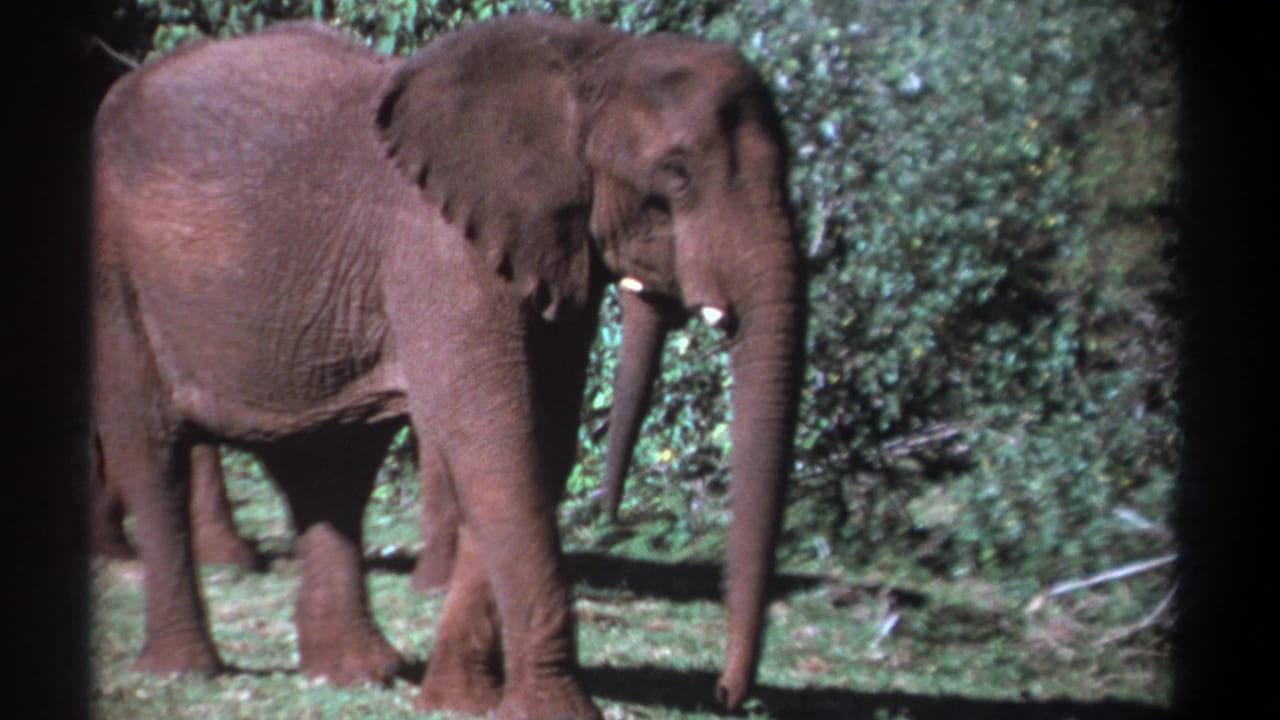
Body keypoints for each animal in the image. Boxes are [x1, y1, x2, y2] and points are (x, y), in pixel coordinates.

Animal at [92, 15, 804, 719]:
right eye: (676, 176)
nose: (725, 693)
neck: (592, 61)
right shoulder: (442, 250)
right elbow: (495, 440)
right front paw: (548, 712)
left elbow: (539, 447)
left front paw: (456, 699)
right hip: (117, 276)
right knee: (153, 453)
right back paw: (187, 669)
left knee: (330, 474)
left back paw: (357, 673)